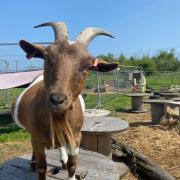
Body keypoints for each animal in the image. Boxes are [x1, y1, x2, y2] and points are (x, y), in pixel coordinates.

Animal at [11, 21, 118, 179]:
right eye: (46, 56)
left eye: (88, 66)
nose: (57, 99)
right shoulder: (37, 139)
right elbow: (42, 167)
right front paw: (37, 164)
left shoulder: (76, 137)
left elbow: (73, 165)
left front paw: (68, 165)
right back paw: (33, 162)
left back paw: (63, 160)